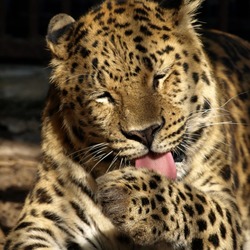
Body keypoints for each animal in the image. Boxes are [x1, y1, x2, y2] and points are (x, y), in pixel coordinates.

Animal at [4, 0, 250, 249]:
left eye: (159, 77)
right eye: (104, 96)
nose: (145, 133)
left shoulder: (230, 214)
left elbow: (199, 206)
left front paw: (131, 195)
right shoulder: (41, 223)